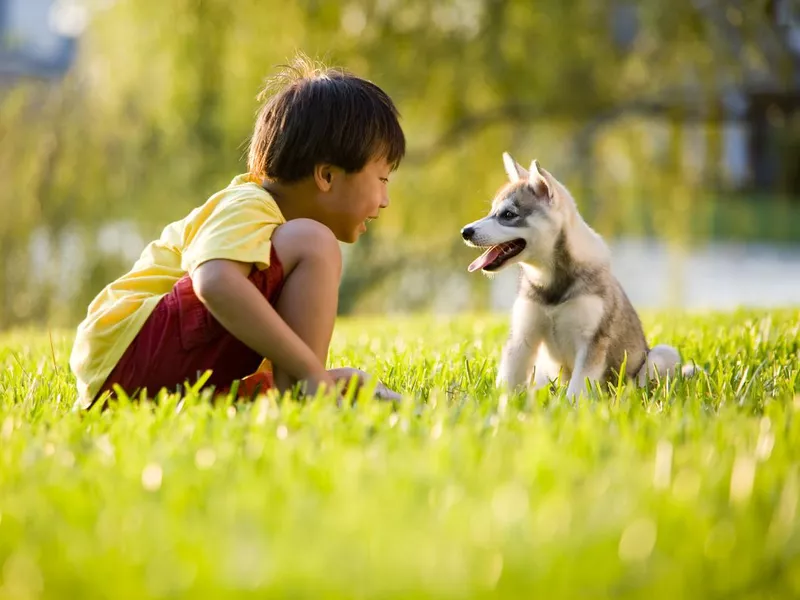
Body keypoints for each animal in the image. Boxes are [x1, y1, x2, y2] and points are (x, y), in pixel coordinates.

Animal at [462, 152, 692, 400]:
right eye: (491, 212)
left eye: (508, 214)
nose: (465, 232)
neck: (551, 282)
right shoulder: (523, 336)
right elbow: (507, 381)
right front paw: (499, 405)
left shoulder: (591, 343)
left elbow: (577, 389)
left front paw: (570, 406)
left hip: (662, 355)